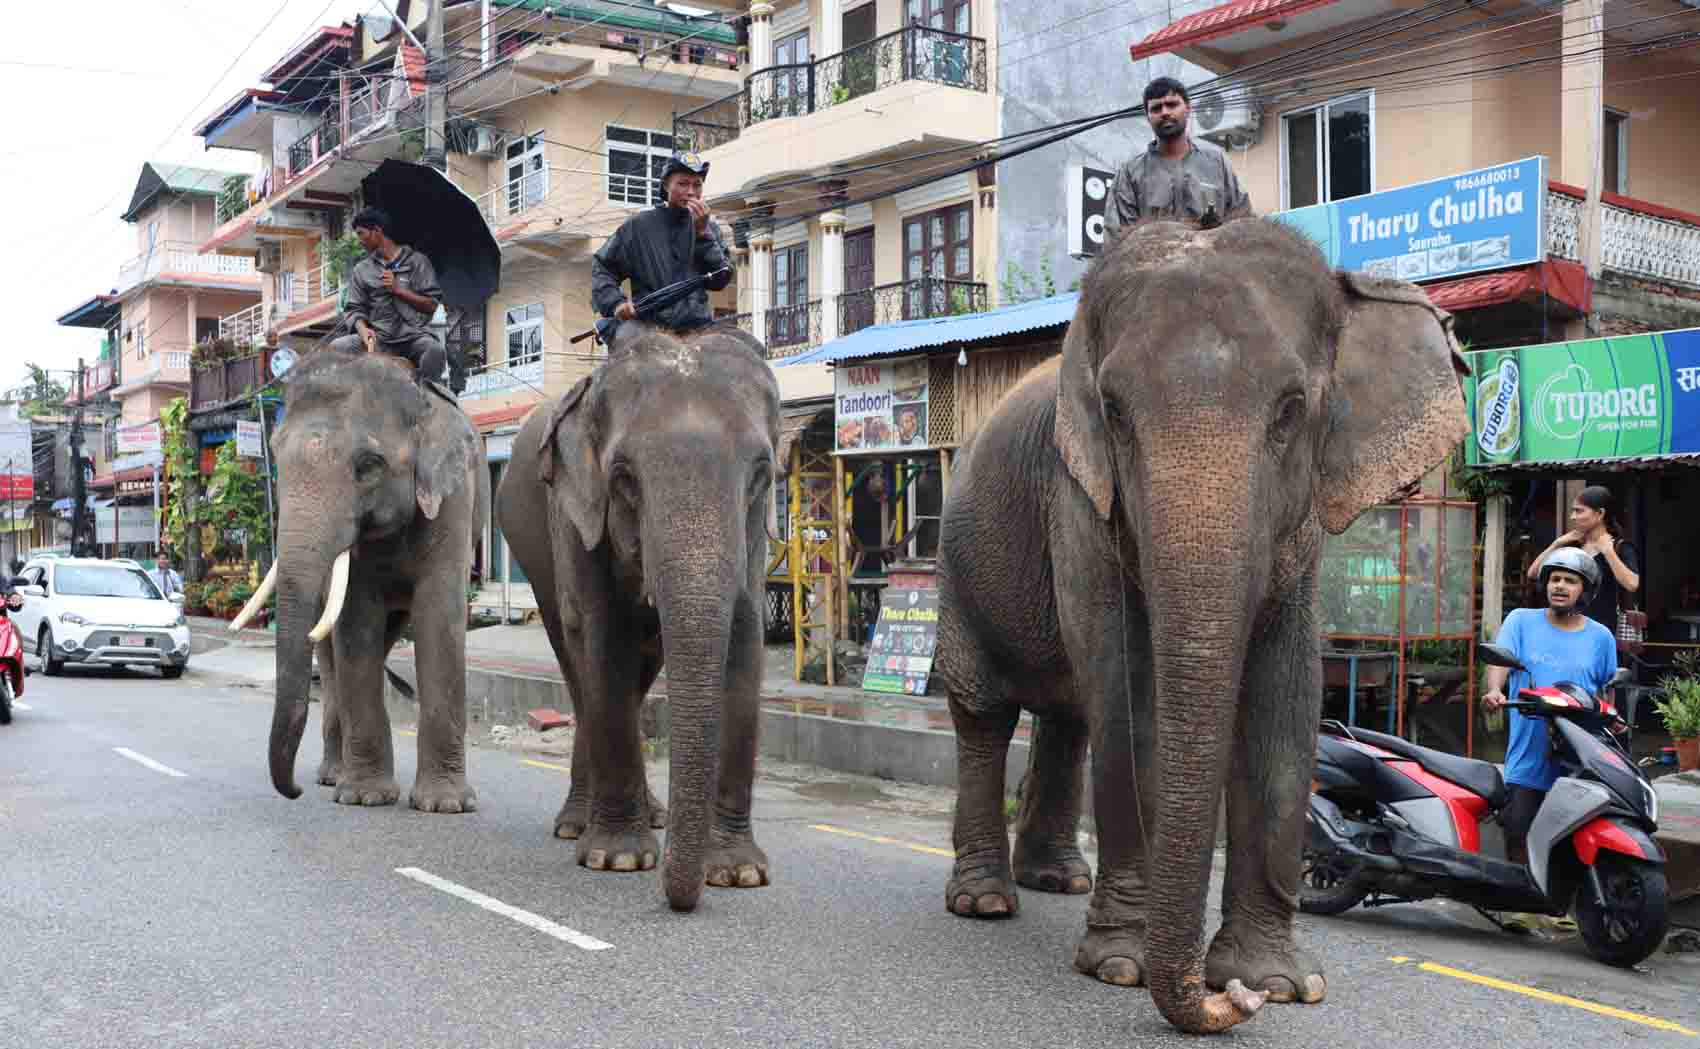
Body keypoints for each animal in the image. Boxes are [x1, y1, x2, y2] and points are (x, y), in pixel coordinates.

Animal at [229, 348, 489, 812]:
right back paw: (336, 777)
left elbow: (439, 615)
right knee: (332, 657)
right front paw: (367, 797)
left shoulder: (455, 499)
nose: (293, 791)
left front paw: (445, 805)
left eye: (368, 467)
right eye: (276, 459)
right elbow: (356, 622)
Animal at [496, 323, 778, 911]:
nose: (680, 900)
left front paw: (737, 872)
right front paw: (619, 859)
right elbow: (603, 637)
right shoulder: (576, 516)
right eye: (624, 479)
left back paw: (652, 817)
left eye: (762, 475)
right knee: (577, 662)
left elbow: (745, 637)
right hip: (530, 538)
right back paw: (578, 826)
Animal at [938, 216, 1468, 1033]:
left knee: (1067, 715)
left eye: (1290, 410)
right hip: (954, 565)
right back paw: (985, 900)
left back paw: (1057, 879)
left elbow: (1287, 693)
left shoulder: (1299, 531)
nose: (1231, 1004)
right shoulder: (1079, 499)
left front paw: (1279, 982)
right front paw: (1121, 967)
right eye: (1115, 412)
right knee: (986, 714)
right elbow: (1128, 688)